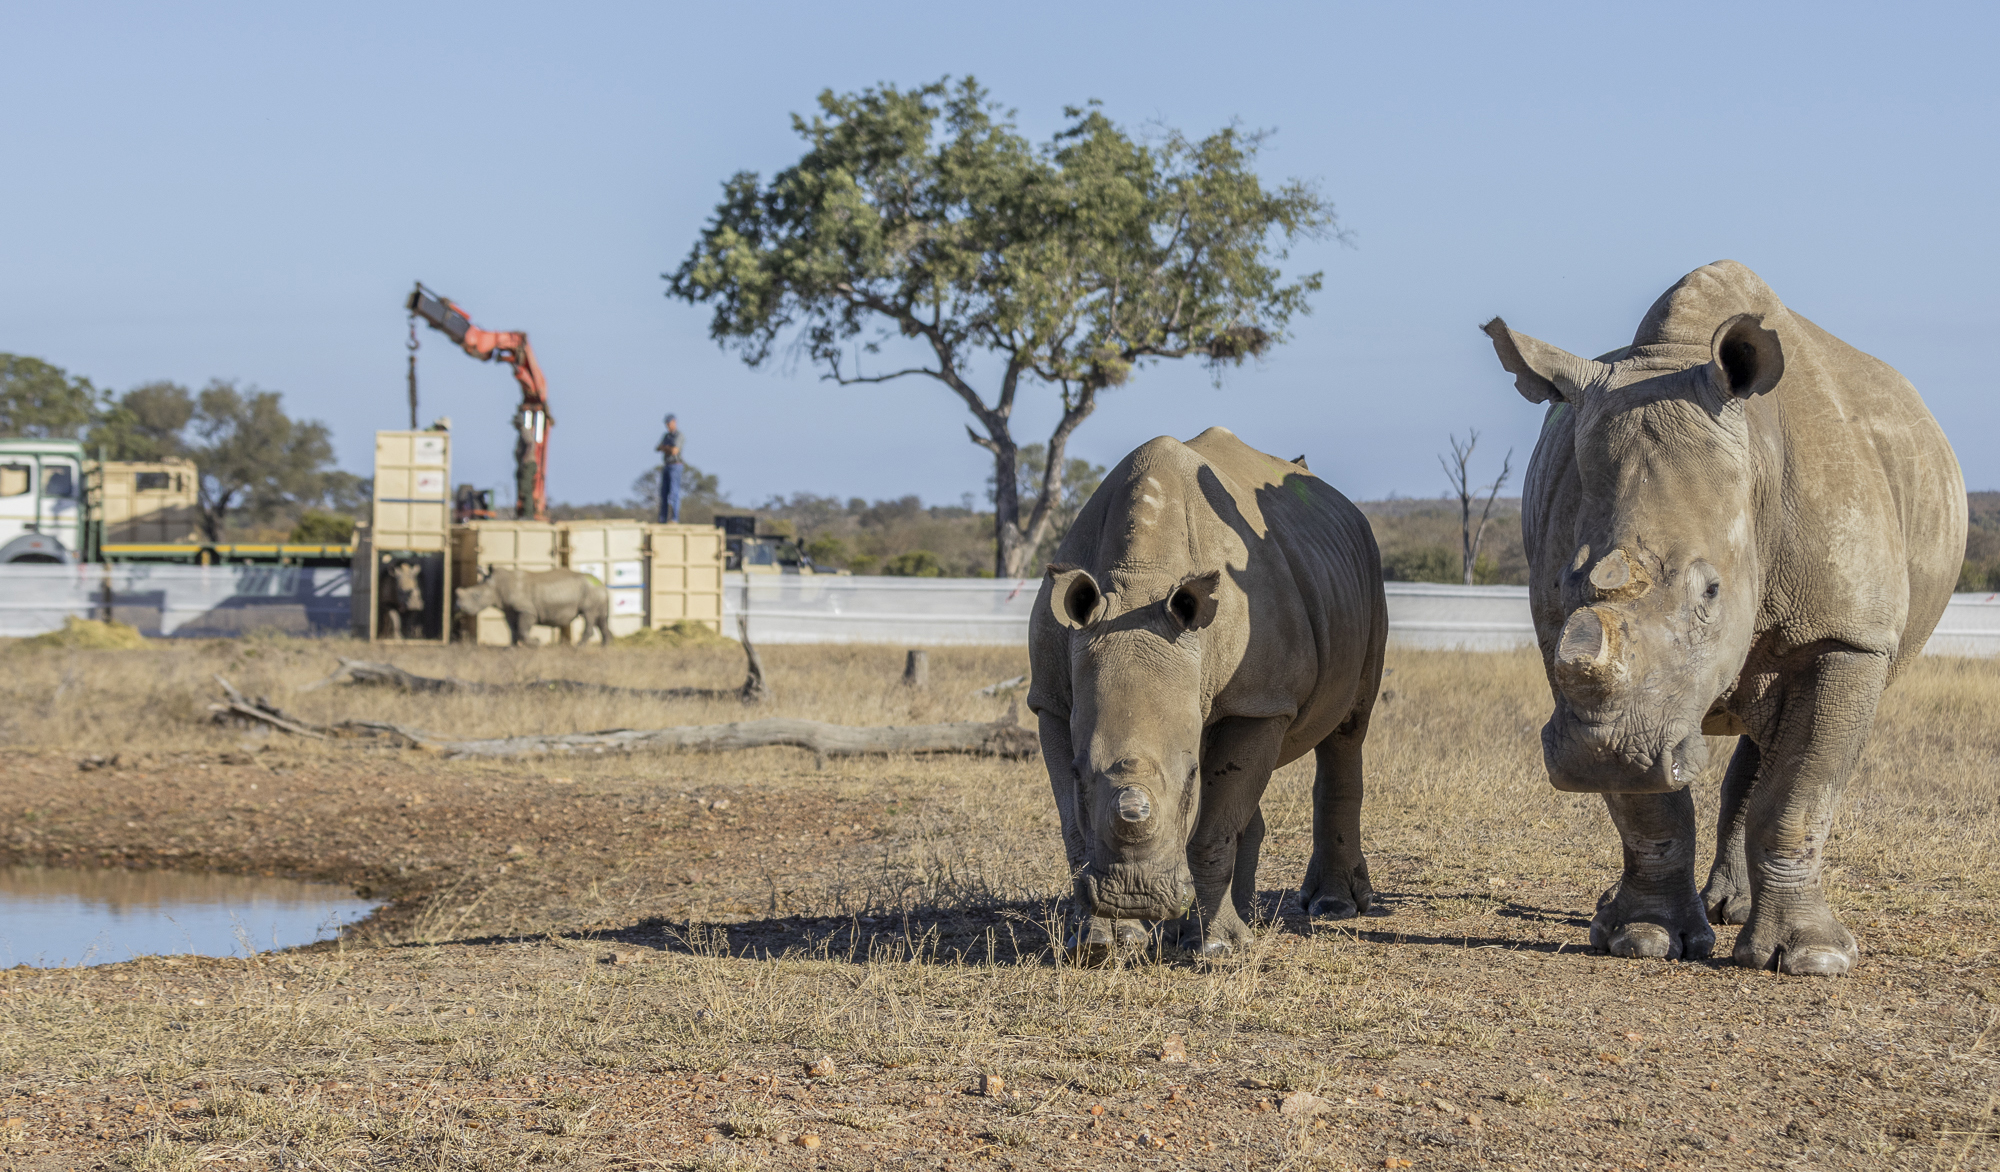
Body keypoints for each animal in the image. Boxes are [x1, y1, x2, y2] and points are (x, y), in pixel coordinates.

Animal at [454, 567, 613, 647]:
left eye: (476, 595)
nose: (459, 606)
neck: (497, 586)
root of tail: (602, 584)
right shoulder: (509, 610)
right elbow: (512, 629)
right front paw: (511, 647)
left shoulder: (527, 610)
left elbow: (523, 630)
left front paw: (537, 642)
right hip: (595, 591)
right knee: (600, 618)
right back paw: (605, 646)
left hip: (592, 591)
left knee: (589, 615)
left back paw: (579, 646)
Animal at [1027, 427, 1388, 959]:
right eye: (1078, 774)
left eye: (1191, 779)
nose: (1133, 896)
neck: (1139, 583)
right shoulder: (1051, 700)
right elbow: (1075, 830)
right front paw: (1102, 943)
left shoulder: (1260, 701)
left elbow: (1214, 827)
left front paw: (1216, 951)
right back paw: (1230, 921)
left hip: (1367, 573)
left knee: (1347, 730)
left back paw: (1331, 908)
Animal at [1483, 260, 1966, 976]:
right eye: (1569, 581)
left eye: (1711, 592)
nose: (1601, 755)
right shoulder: (1571, 645)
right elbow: (1651, 809)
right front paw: (1645, 939)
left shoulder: (1849, 636)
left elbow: (1800, 789)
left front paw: (1813, 959)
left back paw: (1737, 915)